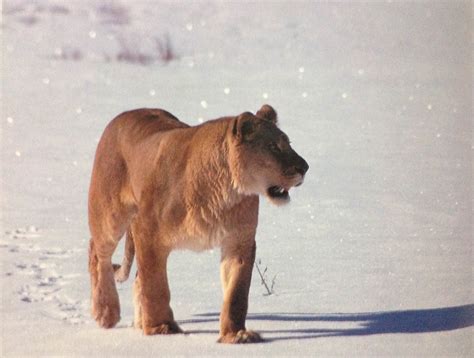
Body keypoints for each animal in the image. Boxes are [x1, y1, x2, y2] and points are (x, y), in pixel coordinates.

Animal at [88, 104, 312, 344]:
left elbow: (236, 293)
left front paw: (236, 335)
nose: (305, 167)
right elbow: (155, 287)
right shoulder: (146, 231)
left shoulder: (239, 241)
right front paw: (161, 328)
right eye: (273, 147)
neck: (225, 191)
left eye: (288, 143)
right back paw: (105, 312)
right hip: (109, 215)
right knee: (97, 254)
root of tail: (124, 114)